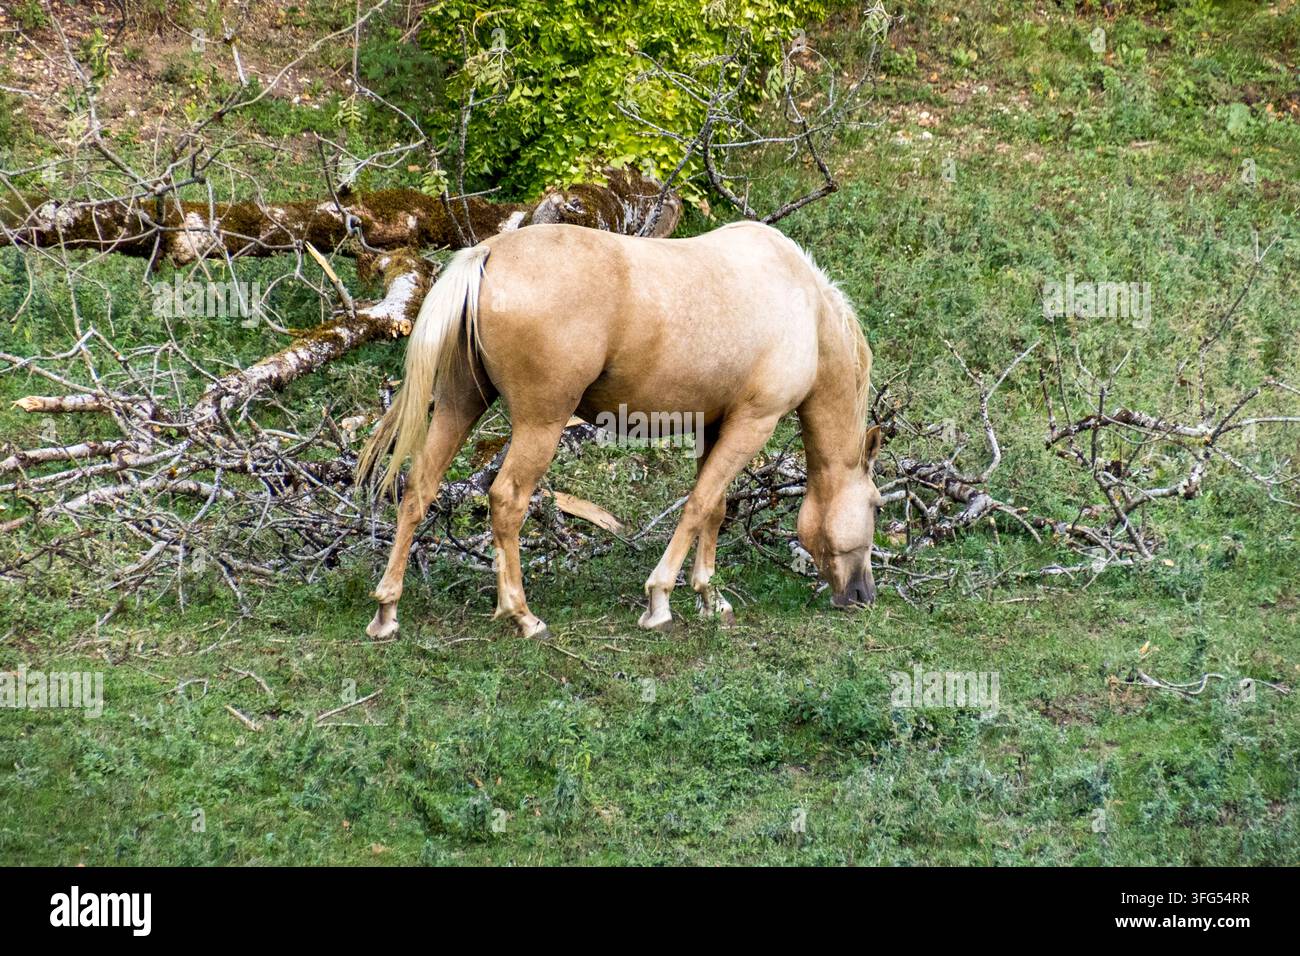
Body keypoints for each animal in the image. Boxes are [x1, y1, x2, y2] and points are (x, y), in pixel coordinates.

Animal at [358, 220, 883, 640]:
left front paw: (710, 598)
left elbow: (714, 508)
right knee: (506, 500)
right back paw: (522, 615)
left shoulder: (715, 425)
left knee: (418, 488)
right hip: (540, 424)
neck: (805, 309)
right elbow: (697, 506)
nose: (864, 594)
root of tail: (489, 253)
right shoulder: (754, 423)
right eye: (877, 504)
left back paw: (387, 611)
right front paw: (660, 600)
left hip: (459, 405)